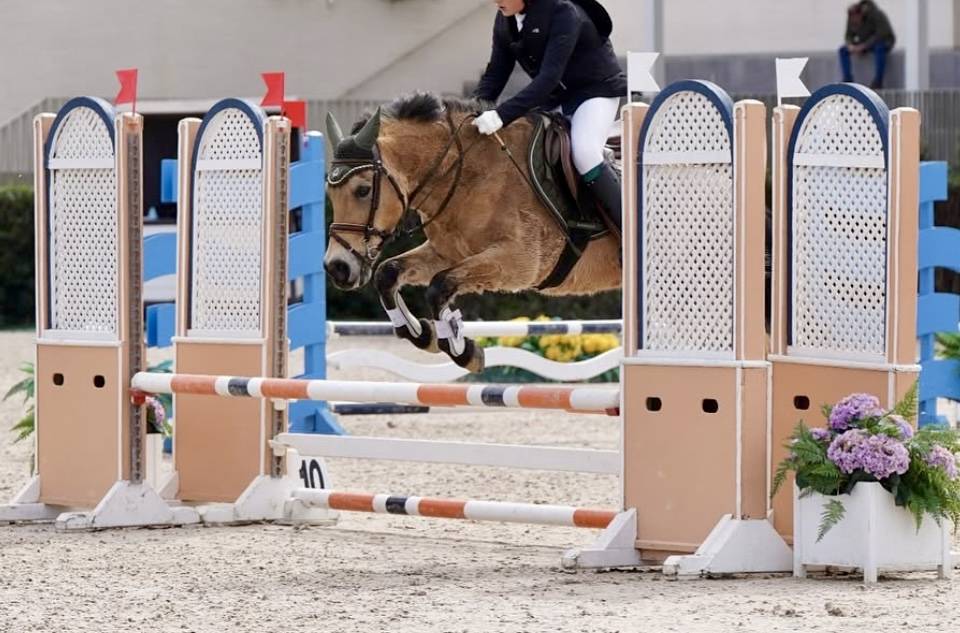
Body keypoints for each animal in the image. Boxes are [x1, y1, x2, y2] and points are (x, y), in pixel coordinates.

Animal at [323, 93, 621, 372]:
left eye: (363, 190)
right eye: (329, 192)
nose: (337, 267)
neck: (469, 176)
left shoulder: (520, 263)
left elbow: (439, 286)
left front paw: (462, 349)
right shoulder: (447, 252)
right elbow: (388, 273)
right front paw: (423, 334)